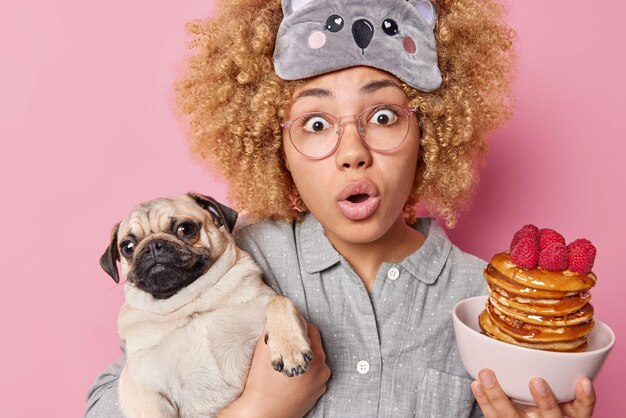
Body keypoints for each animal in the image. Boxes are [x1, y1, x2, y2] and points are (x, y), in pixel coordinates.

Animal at [101, 193, 312, 418]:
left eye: (185, 229)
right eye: (127, 247)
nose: (152, 246)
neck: (190, 302)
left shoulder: (263, 302)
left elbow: (279, 300)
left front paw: (290, 348)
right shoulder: (144, 391)